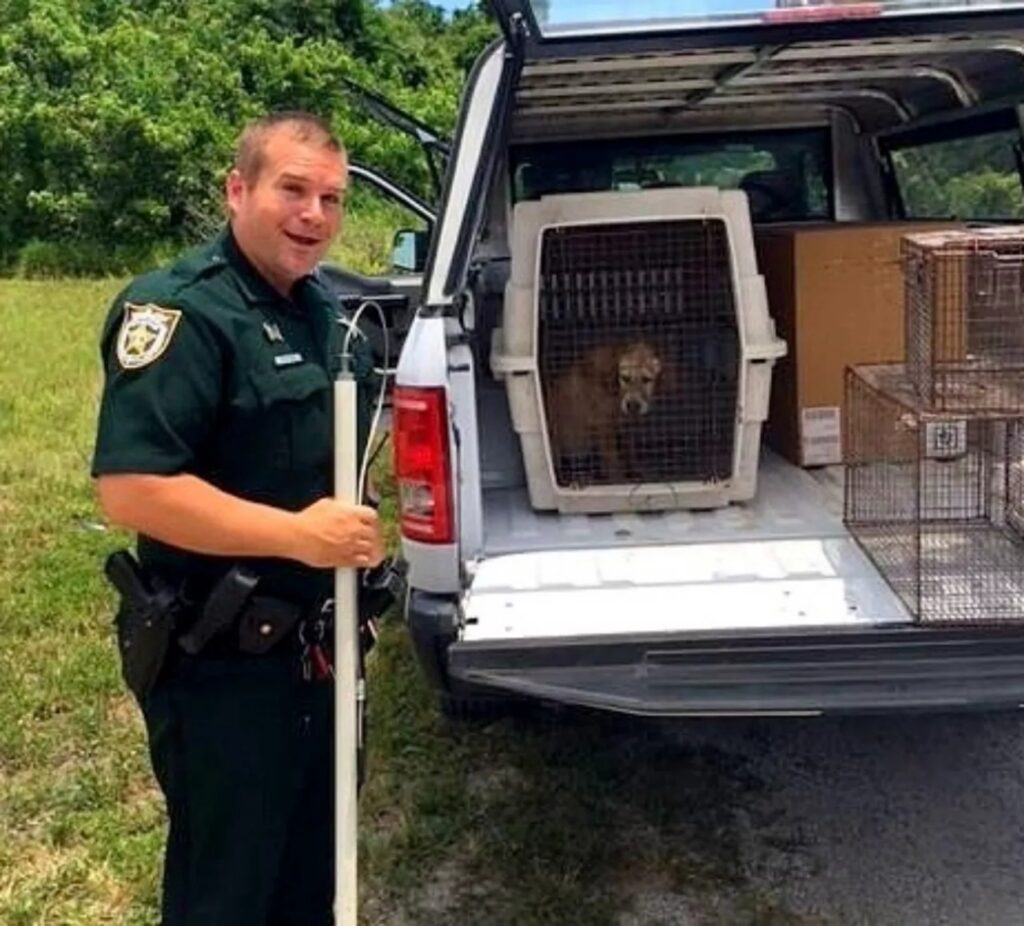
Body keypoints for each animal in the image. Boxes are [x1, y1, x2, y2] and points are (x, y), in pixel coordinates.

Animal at [544, 340, 663, 485]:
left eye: (646, 379)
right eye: (625, 378)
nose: (632, 406)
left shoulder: (623, 428)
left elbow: (629, 453)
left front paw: (635, 472)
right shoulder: (605, 427)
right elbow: (613, 461)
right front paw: (619, 480)